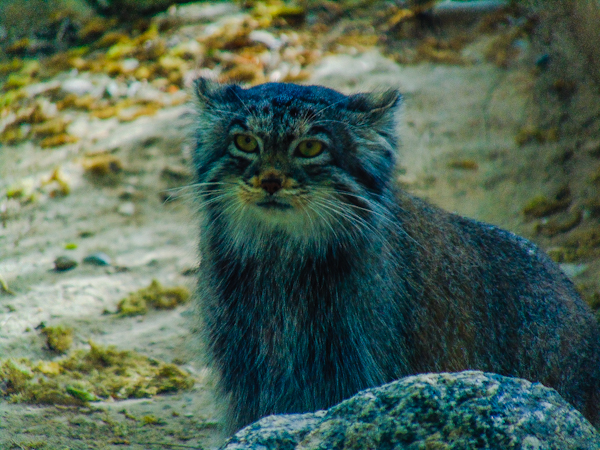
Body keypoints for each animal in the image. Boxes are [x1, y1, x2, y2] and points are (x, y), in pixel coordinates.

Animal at [189, 78, 600, 432]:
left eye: (309, 148)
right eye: (245, 142)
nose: (270, 181)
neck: (279, 258)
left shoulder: (349, 367)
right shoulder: (248, 373)